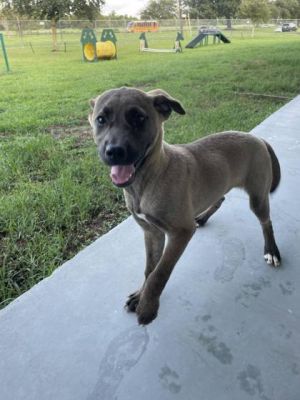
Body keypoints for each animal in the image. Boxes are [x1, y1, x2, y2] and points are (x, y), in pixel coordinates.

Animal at [88, 86, 280, 324]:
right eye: (101, 119)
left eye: (139, 118)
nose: (114, 151)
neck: (148, 179)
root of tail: (257, 137)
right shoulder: (152, 233)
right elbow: (149, 269)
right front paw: (141, 295)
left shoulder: (181, 232)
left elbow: (160, 272)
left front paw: (148, 306)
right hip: (219, 185)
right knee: (220, 198)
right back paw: (204, 217)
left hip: (257, 196)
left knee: (266, 222)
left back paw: (272, 251)